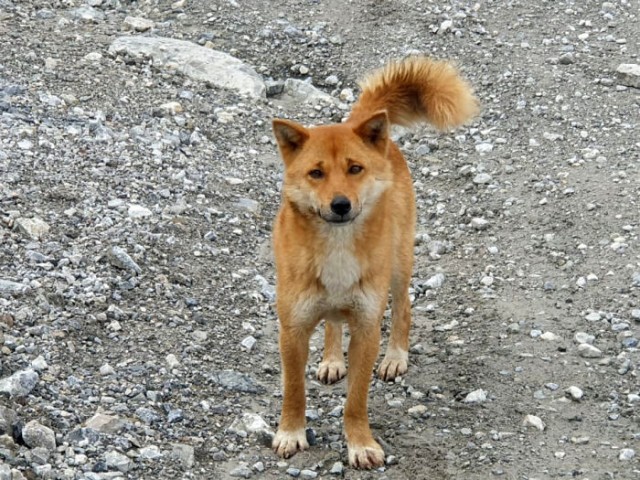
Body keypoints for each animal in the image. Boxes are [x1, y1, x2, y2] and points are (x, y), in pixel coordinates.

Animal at [268, 56, 476, 468]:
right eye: (316, 173)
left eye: (354, 169)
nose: (340, 205)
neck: (336, 247)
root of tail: (359, 122)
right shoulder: (292, 329)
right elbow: (294, 389)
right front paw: (291, 433)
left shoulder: (366, 327)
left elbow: (356, 399)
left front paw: (360, 443)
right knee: (333, 323)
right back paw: (332, 359)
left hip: (398, 265)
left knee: (404, 309)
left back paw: (395, 357)